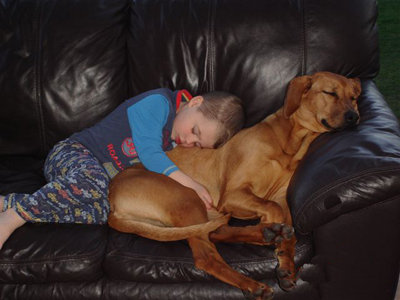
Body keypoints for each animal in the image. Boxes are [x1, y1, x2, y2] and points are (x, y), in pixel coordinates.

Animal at [108, 71, 360, 298]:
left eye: (354, 96)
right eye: (330, 93)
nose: (354, 117)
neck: (290, 142)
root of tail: (112, 203)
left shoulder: (281, 198)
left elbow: (290, 230)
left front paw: (287, 263)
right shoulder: (234, 194)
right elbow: (272, 209)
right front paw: (273, 232)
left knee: (216, 232)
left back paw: (267, 234)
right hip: (187, 197)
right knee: (206, 256)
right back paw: (254, 273)